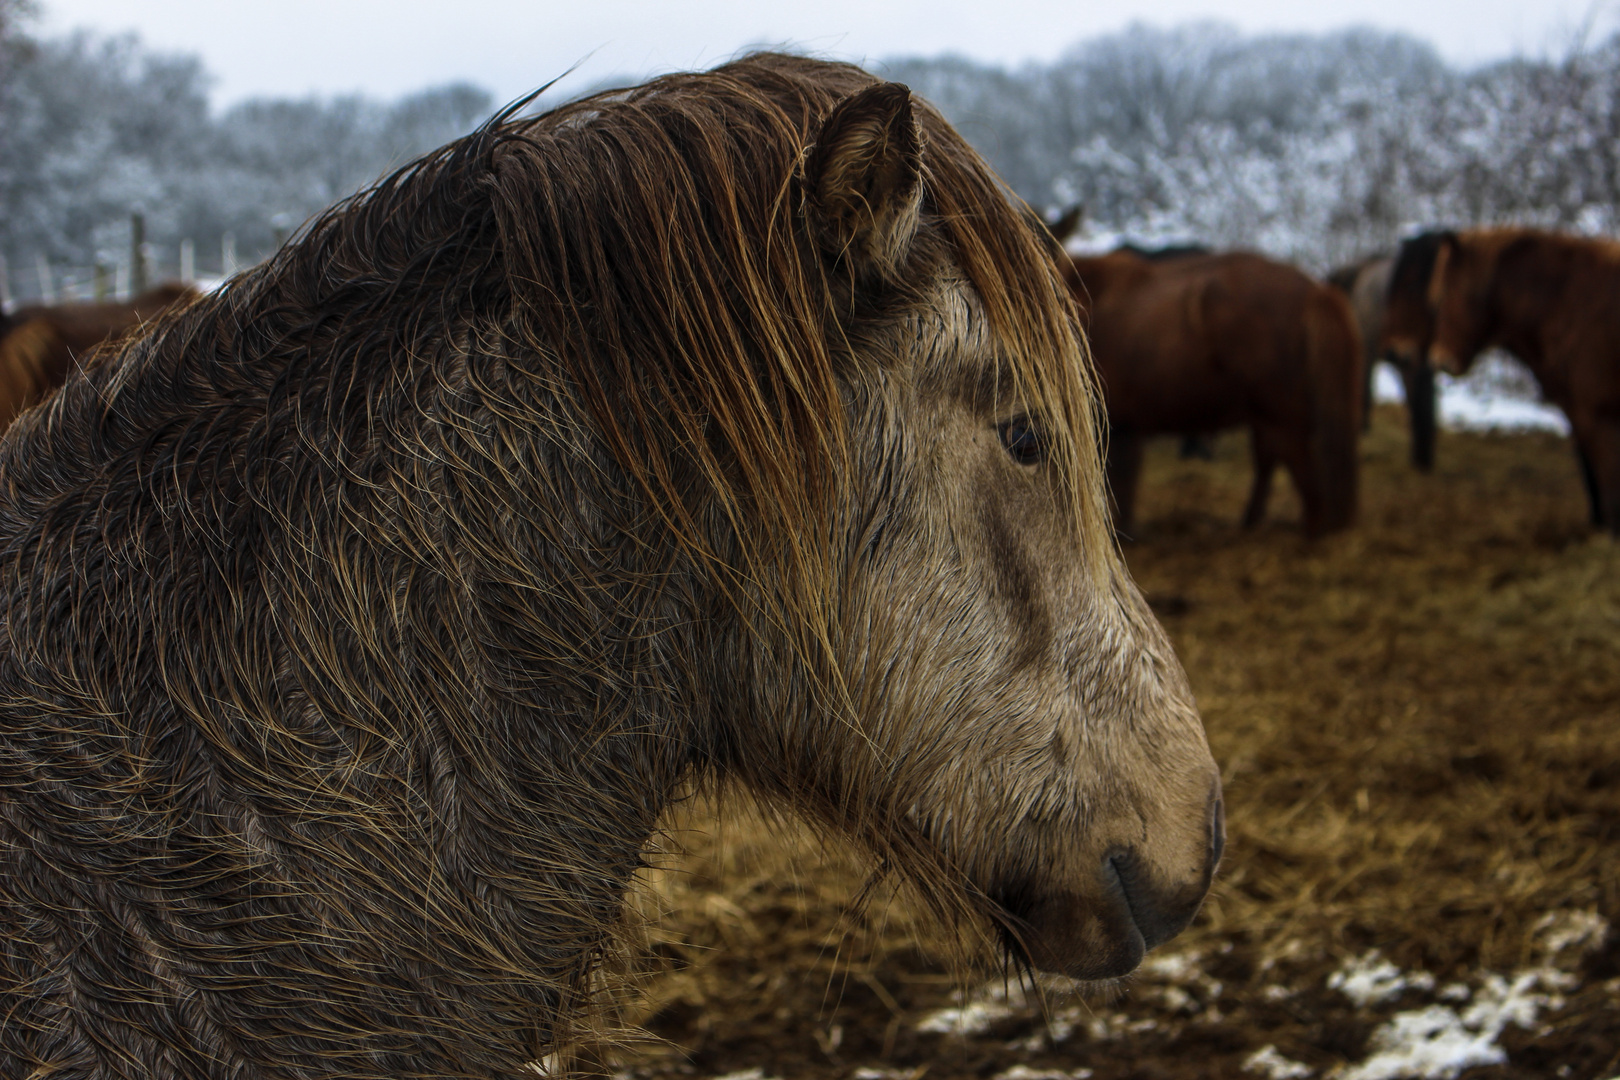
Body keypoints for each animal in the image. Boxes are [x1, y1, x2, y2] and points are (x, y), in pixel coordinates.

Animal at [1069, 246, 1360, 537]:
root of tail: (1316, 291)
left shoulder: (1118, 423)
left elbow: (1120, 479)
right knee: (1276, 460)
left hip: (1280, 415)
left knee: (1298, 466)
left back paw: (1311, 528)